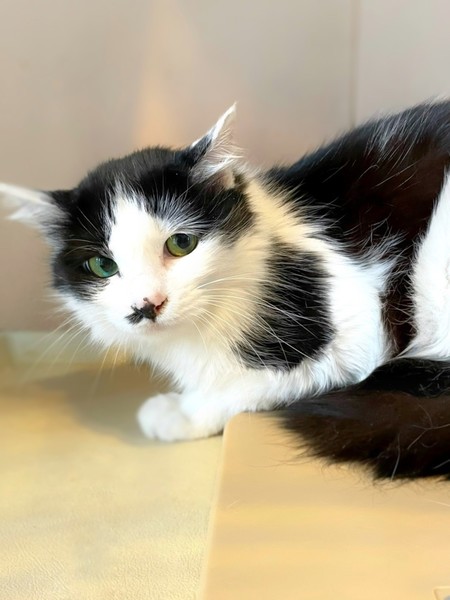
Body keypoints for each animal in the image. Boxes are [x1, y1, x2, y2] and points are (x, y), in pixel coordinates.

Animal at [3, 101, 450, 480]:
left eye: (181, 244)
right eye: (103, 266)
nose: (147, 305)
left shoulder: (355, 328)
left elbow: (247, 385)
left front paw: (180, 412)